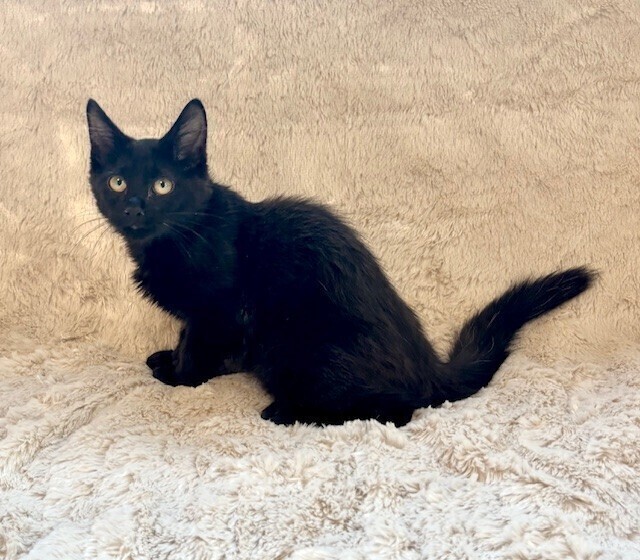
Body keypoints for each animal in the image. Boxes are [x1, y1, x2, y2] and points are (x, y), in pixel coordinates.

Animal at [86, 98, 594, 427]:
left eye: (163, 186)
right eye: (116, 182)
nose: (134, 208)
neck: (175, 238)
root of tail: (427, 366)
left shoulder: (220, 311)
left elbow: (196, 344)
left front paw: (180, 375)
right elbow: (197, 342)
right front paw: (174, 359)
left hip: (296, 348)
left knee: (398, 411)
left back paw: (291, 412)